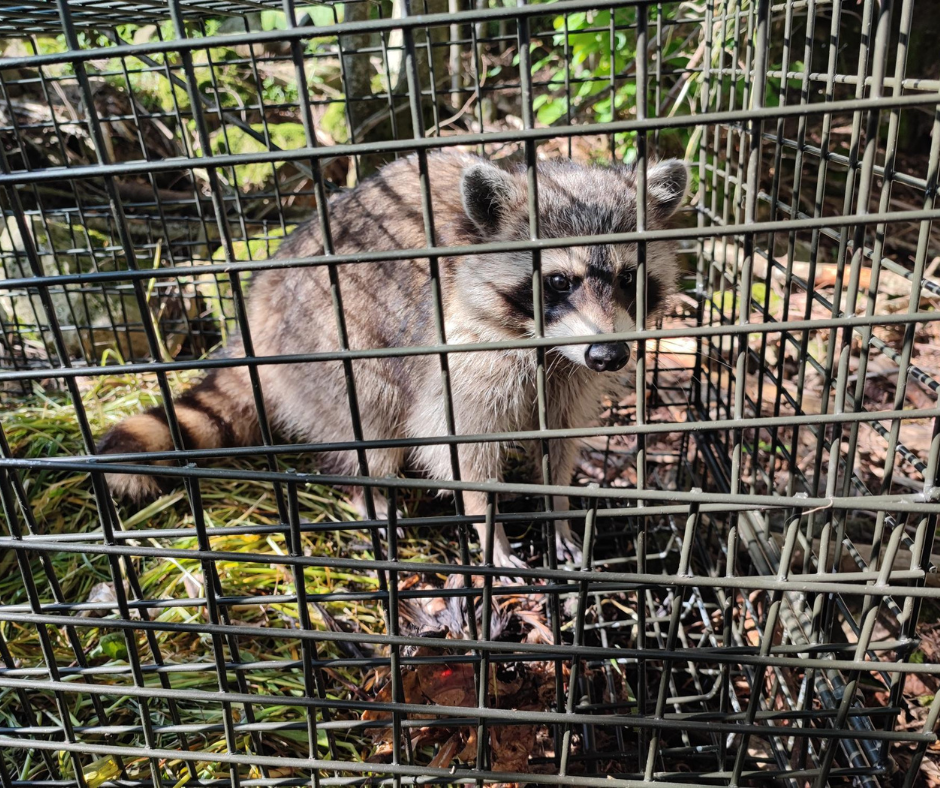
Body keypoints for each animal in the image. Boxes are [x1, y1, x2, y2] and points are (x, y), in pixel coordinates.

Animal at [99, 149, 688, 568]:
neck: (545, 347)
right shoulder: (459, 357)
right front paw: (488, 525)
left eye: (629, 278)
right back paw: (368, 492)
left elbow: (559, 441)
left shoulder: (569, 374)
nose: (609, 355)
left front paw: (559, 512)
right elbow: (457, 449)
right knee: (368, 419)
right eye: (560, 282)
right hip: (325, 340)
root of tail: (260, 299)